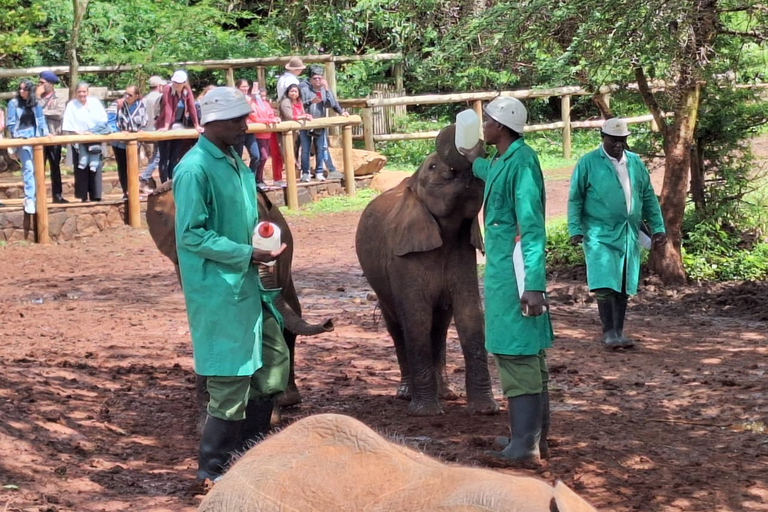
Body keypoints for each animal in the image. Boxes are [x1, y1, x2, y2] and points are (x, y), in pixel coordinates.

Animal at [358, 124, 500, 416]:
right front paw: (426, 412)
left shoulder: (462, 251)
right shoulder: (402, 259)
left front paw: (485, 410)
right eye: (433, 166)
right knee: (397, 326)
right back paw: (406, 394)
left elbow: (470, 315)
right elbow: (416, 319)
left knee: (441, 327)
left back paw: (446, 393)